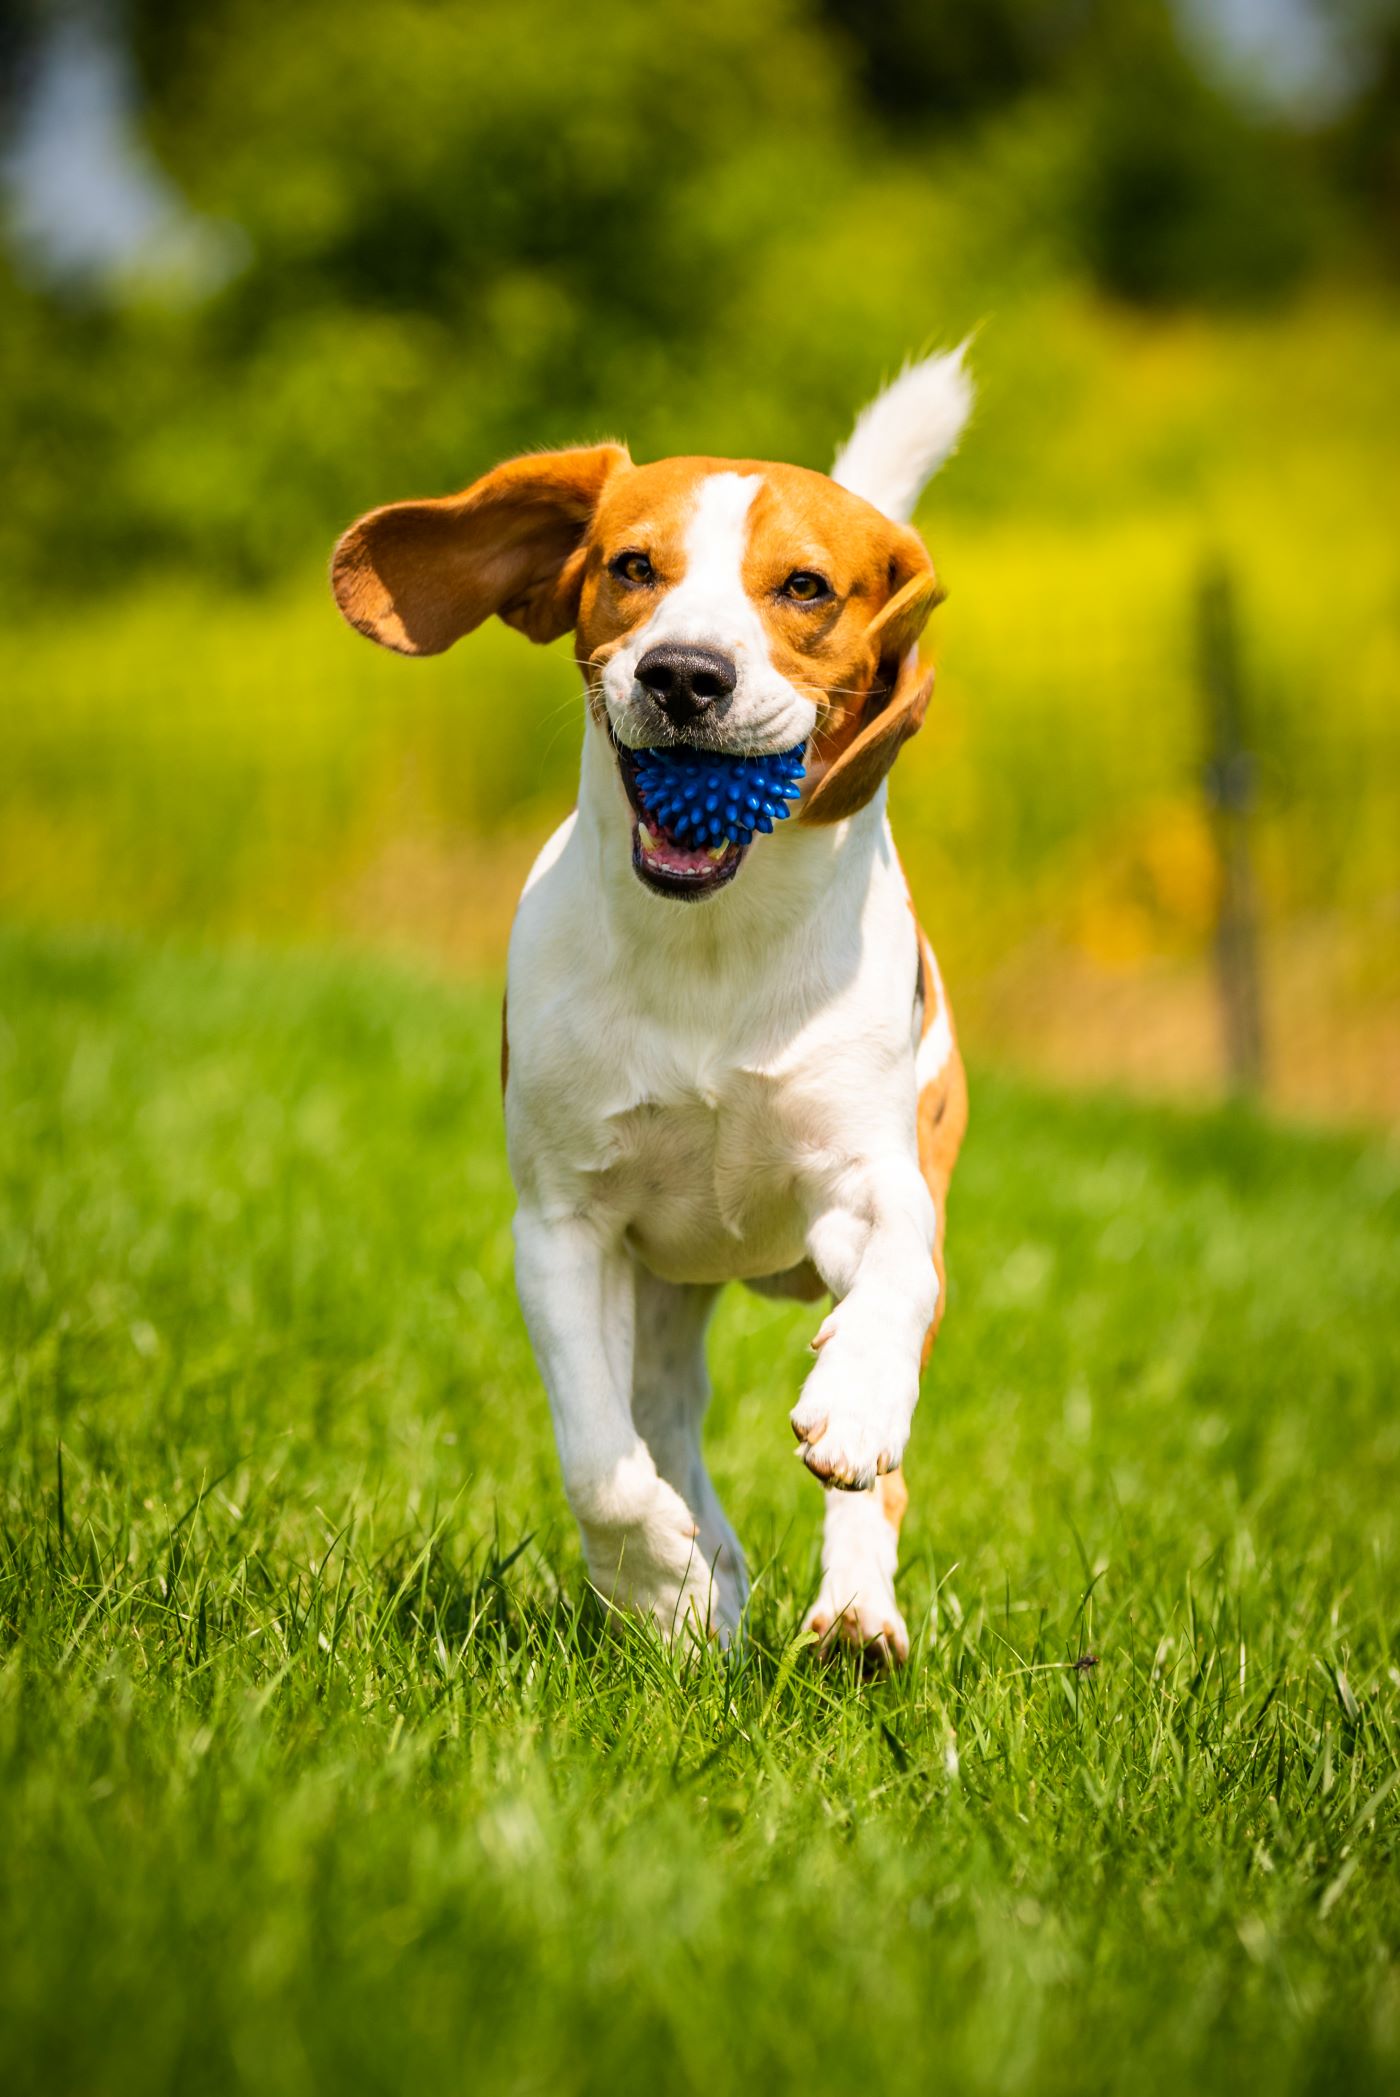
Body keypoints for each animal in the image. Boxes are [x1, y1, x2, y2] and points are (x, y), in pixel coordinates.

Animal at [333, 348, 968, 1669]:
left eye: (804, 588)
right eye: (632, 567)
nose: (683, 673)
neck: (708, 951)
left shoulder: (869, 1180)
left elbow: (893, 1274)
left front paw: (854, 1397)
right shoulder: (561, 1226)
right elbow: (595, 1454)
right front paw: (663, 1583)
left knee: (870, 1473)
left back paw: (855, 1614)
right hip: (663, 1286)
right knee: (662, 1413)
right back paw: (708, 1572)